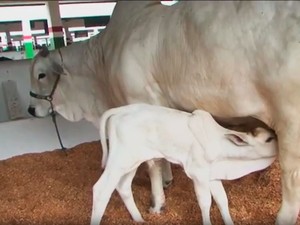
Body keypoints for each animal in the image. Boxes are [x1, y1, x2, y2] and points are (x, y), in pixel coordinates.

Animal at [90, 103, 278, 225]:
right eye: (268, 139)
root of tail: (121, 110)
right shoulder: (198, 174)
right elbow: (205, 202)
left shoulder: (212, 175)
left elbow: (222, 200)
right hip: (119, 160)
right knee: (101, 190)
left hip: (131, 162)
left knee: (122, 186)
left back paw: (139, 219)